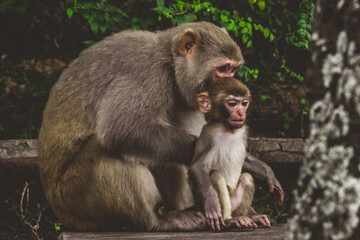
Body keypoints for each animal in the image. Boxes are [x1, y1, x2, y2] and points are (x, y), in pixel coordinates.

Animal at [191, 78, 270, 232]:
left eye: (244, 103)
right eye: (232, 104)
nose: (241, 113)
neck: (228, 129)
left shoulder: (243, 130)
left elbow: (246, 159)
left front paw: (268, 173)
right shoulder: (209, 135)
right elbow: (197, 166)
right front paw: (212, 202)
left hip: (235, 203)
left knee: (246, 177)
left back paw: (248, 218)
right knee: (215, 175)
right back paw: (229, 221)